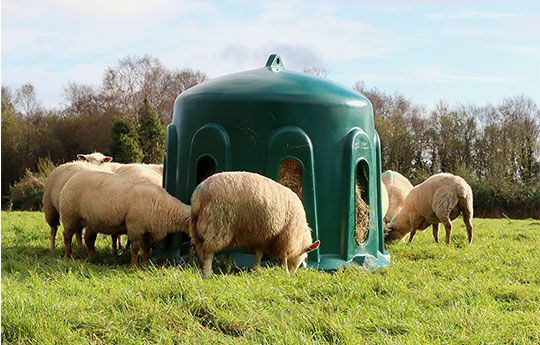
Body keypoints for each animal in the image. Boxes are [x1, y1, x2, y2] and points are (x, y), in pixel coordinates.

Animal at [58, 169, 190, 264]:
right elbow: (135, 248)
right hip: (70, 217)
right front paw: (133, 265)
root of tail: (73, 177)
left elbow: (146, 248)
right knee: (67, 236)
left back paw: (92, 257)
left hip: (92, 221)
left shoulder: (148, 231)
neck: (166, 207)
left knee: (88, 238)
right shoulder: (134, 227)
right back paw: (69, 256)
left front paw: (146, 264)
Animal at [189, 171, 318, 278]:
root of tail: (198, 195)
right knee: (208, 252)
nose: (293, 272)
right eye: (304, 256)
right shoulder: (286, 236)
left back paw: (201, 267)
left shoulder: (261, 237)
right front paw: (285, 272)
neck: (300, 236)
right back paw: (207, 273)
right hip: (217, 225)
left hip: (197, 227)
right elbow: (284, 257)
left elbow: (258, 255)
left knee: (199, 248)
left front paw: (256, 270)